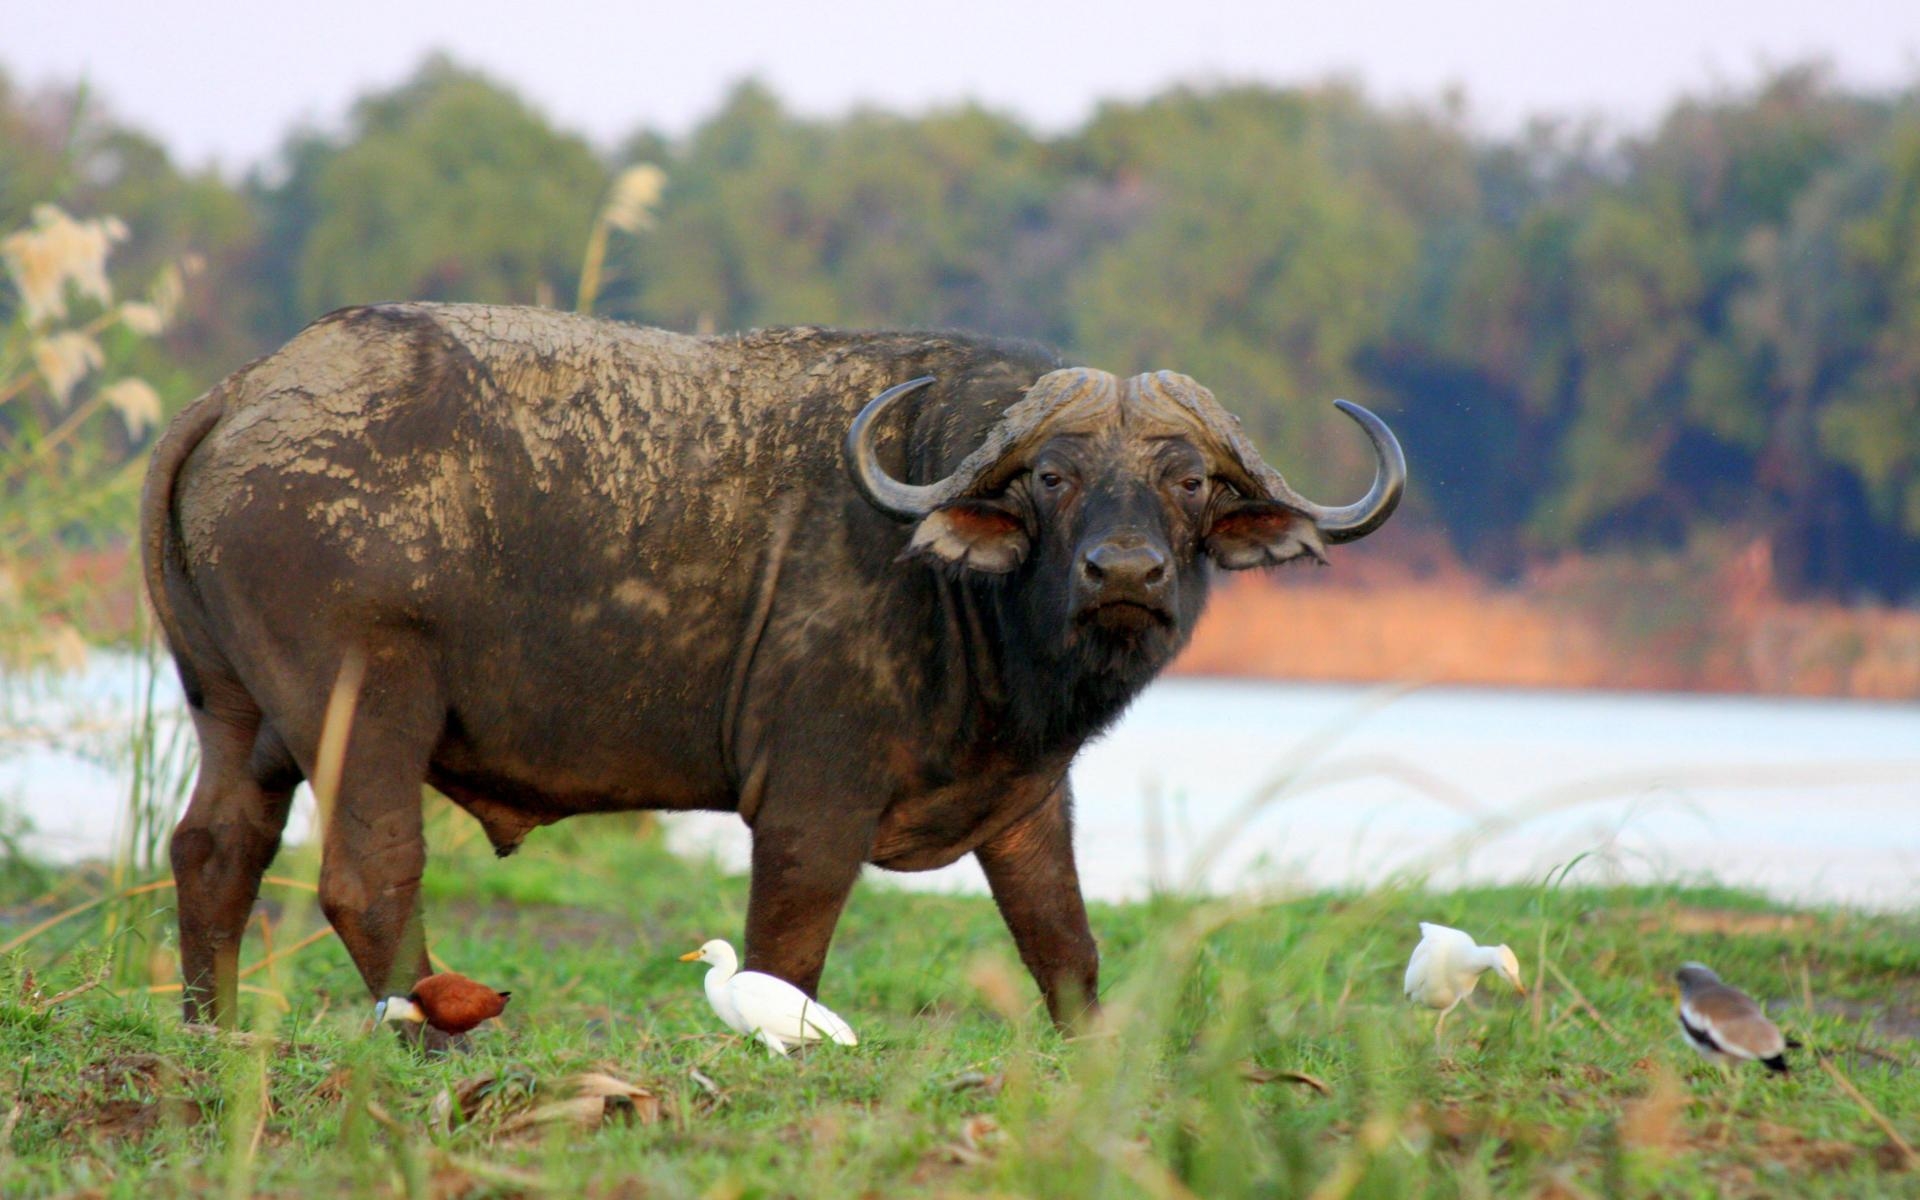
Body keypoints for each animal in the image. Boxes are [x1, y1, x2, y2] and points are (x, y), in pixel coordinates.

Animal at [135, 303, 1405, 1021]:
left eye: (1188, 480)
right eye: (1055, 476)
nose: (1126, 571)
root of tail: (245, 392)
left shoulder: (1029, 802)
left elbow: (1066, 942)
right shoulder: (810, 802)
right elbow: (787, 953)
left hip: (237, 712)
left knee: (212, 848)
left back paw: (213, 1020)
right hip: (367, 704)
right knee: (369, 871)